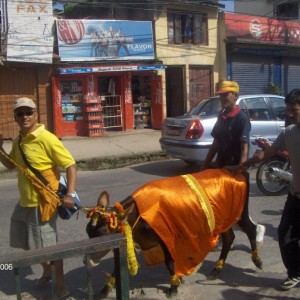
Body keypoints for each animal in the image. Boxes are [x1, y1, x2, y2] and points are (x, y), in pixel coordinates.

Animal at [85, 169, 262, 298]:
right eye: (88, 231)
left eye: (103, 232)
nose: (87, 259)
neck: (140, 215)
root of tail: (237, 171)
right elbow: (118, 267)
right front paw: (105, 289)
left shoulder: (166, 238)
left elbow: (169, 263)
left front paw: (174, 285)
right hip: (223, 221)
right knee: (229, 238)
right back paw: (216, 270)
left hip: (239, 214)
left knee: (251, 229)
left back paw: (257, 260)